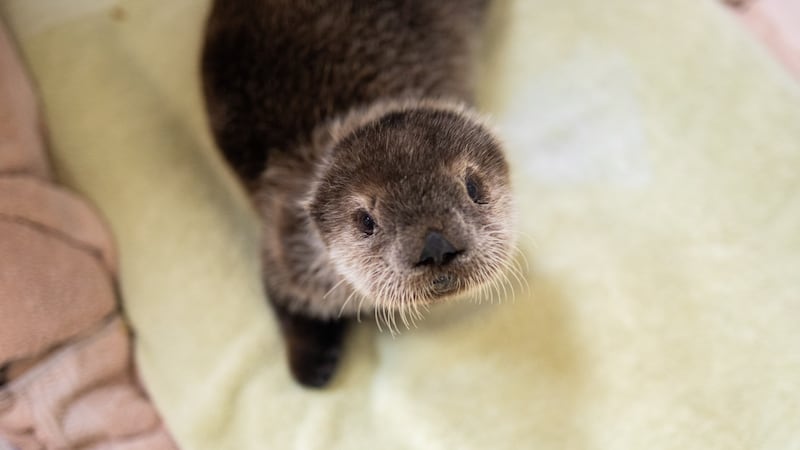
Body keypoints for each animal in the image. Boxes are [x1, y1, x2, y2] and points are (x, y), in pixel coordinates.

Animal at [202, 0, 515, 388]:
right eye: (366, 220)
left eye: (472, 187)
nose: (435, 245)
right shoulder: (283, 243)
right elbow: (281, 298)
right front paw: (312, 365)